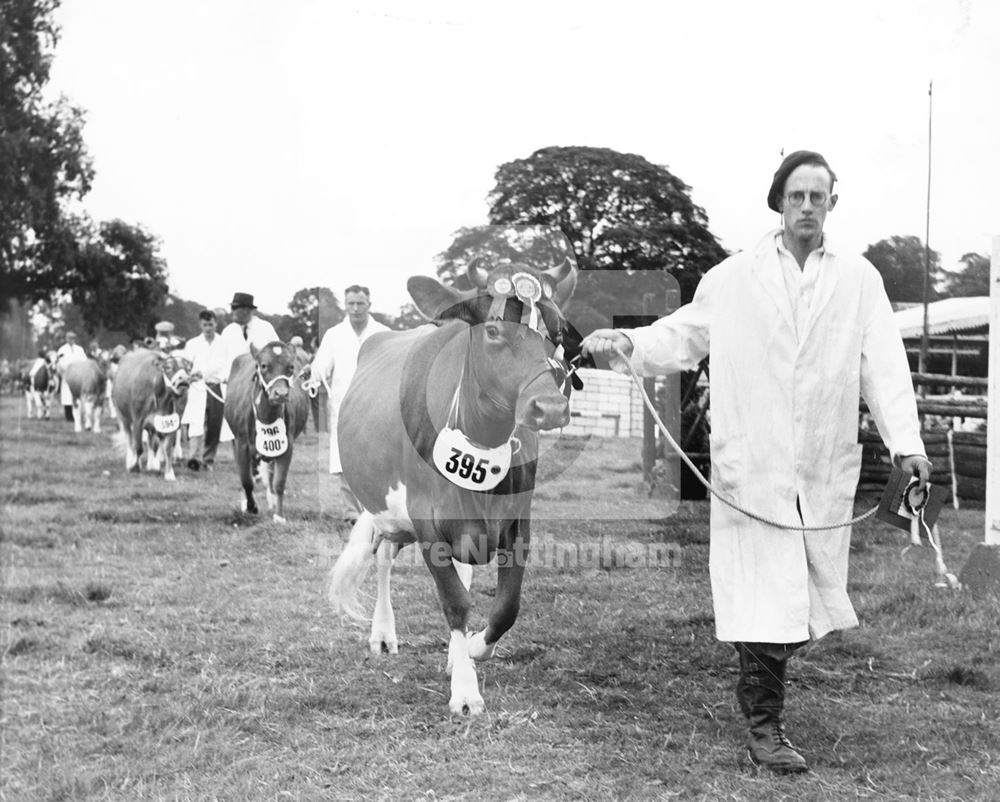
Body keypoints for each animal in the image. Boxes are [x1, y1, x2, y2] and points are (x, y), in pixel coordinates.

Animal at [112, 348, 192, 476]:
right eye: (168, 367)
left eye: (188, 369)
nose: (184, 378)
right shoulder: (138, 420)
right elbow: (138, 447)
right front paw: (134, 467)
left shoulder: (170, 422)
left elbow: (168, 449)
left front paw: (169, 474)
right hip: (122, 416)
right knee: (129, 439)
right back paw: (130, 461)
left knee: (152, 443)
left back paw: (153, 464)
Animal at [223, 340, 308, 520]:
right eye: (263, 365)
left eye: (291, 366)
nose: (281, 394)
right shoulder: (242, 444)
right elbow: (246, 480)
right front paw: (251, 507)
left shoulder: (287, 445)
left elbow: (279, 482)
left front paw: (279, 516)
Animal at [328, 258, 580, 712]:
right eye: (494, 331)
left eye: (556, 335)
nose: (550, 407)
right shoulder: (426, 519)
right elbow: (454, 602)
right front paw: (465, 689)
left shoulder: (519, 519)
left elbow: (506, 606)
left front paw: (474, 649)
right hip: (386, 510)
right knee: (384, 558)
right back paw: (383, 634)